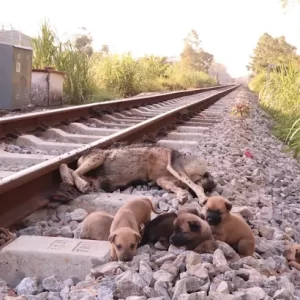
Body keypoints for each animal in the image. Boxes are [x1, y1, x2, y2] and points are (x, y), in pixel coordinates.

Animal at [58, 145, 216, 204]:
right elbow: (66, 167)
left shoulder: (97, 157)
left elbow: (70, 169)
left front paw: (76, 183)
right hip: (163, 179)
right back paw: (182, 195)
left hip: (173, 166)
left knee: (197, 187)